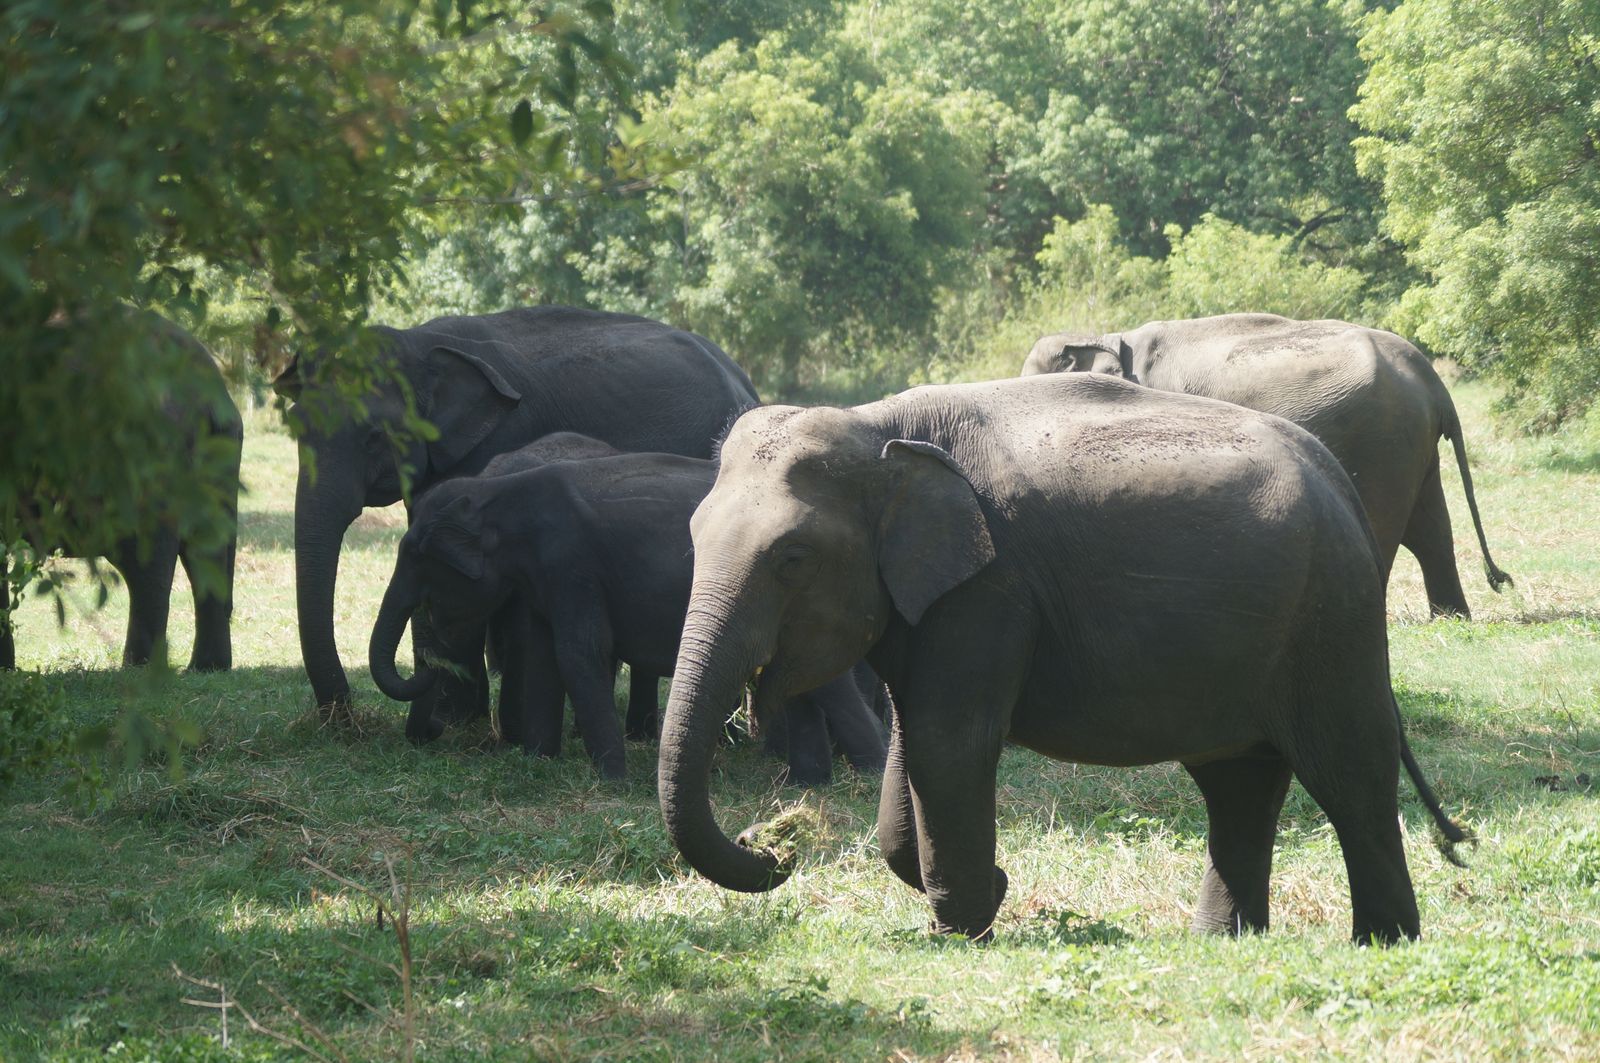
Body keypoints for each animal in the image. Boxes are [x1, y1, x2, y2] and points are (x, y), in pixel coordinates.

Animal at [271, 306, 760, 720]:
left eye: (375, 436)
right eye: (296, 428)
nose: (344, 717)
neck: (417, 342)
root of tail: (744, 378)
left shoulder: (497, 438)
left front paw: (456, 720)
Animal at [368, 451, 887, 784]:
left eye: (420, 563)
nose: (433, 729)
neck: (498, 493)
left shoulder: (572, 563)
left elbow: (579, 652)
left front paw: (612, 781)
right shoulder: (541, 578)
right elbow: (541, 656)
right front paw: (540, 761)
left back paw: (869, 771)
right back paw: (810, 783)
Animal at [657, 375, 1468, 944]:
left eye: (792, 559)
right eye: (691, 533)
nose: (773, 845)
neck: (878, 427)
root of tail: (1339, 481)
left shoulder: (991, 591)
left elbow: (949, 746)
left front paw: (962, 930)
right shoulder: (936, 604)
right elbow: (913, 744)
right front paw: (985, 891)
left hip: (1331, 619)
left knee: (1348, 771)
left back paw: (1382, 942)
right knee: (1239, 780)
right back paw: (1223, 941)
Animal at [1021, 313, 1511, 618]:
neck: (1109, 335)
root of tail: (1434, 383)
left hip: (1382, 439)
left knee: (1385, 527)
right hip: (1412, 445)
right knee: (1432, 530)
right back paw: (1452, 618)